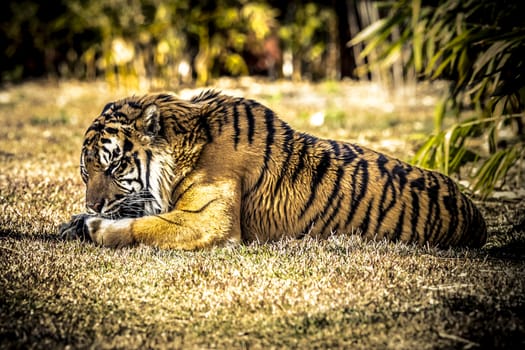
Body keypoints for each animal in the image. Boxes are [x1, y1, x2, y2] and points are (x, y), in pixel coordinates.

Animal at [60, 90, 488, 249]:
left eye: (115, 165)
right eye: (85, 172)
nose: (93, 205)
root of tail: (477, 216)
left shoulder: (209, 220)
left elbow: (142, 226)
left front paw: (94, 227)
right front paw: (74, 222)